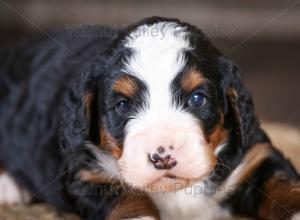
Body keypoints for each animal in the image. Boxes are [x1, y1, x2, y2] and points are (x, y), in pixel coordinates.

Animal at [0, 16, 300, 219]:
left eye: (197, 98)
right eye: (123, 105)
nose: (162, 156)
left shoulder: (255, 156)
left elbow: (283, 186)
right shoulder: (87, 174)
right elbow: (127, 198)